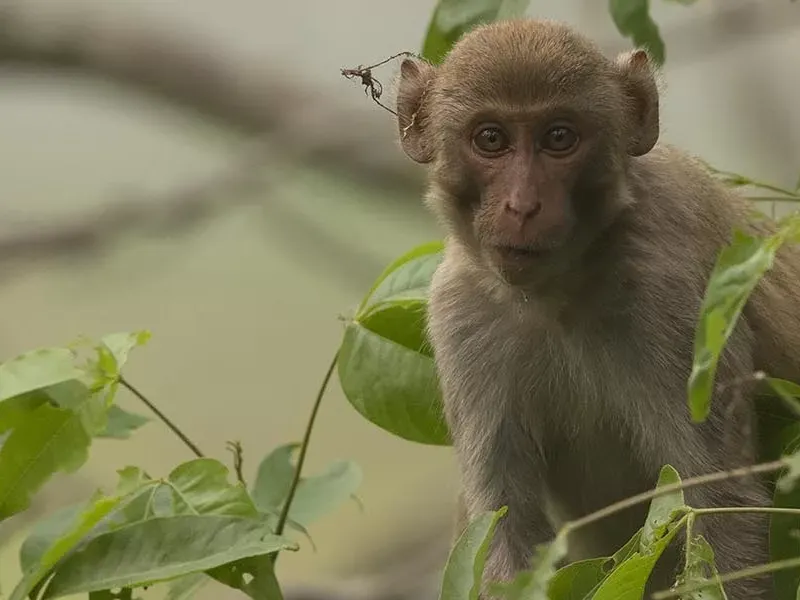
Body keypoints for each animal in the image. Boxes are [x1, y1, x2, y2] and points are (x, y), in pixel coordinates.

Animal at [394, 18, 800, 599]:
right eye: (490, 139)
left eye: (559, 138)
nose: (522, 206)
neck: (558, 291)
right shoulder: (461, 312)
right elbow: (505, 531)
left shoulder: (671, 295)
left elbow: (720, 508)